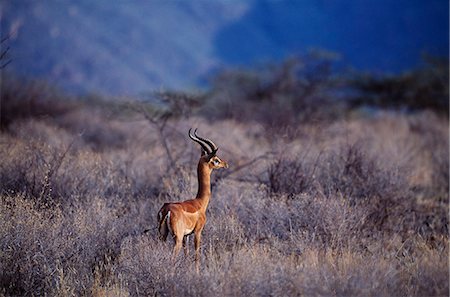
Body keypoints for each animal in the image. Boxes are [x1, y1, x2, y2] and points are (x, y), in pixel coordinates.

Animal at [158, 128, 229, 264]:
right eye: (216, 160)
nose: (226, 164)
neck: (200, 202)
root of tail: (166, 210)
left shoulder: (186, 236)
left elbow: (187, 255)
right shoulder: (197, 232)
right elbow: (196, 255)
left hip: (163, 236)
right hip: (177, 238)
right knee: (173, 257)